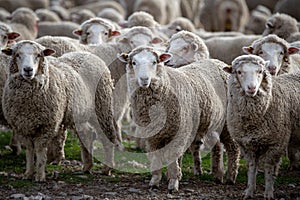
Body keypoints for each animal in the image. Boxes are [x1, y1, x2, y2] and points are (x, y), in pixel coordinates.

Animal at [2, 40, 122, 181]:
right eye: (17, 55)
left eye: (38, 55)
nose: (28, 70)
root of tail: (88, 54)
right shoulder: (22, 125)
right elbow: (30, 150)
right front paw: (28, 173)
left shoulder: (47, 124)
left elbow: (40, 149)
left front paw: (40, 175)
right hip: (80, 114)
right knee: (86, 134)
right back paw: (87, 166)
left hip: (102, 108)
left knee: (107, 137)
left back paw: (107, 168)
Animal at [118, 46, 240, 191]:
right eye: (134, 62)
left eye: (154, 62)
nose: (144, 79)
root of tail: (218, 62)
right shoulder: (152, 135)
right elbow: (155, 157)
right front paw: (155, 180)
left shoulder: (180, 132)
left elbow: (172, 156)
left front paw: (173, 182)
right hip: (214, 123)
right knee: (217, 146)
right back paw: (218, 175)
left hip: (228, 121)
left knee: (233, 148)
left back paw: (231, 177)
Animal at [224, 54, 300, 198]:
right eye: (239, 72)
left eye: (260, 71)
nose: (252, 88)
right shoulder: (246, 144)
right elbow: (252, 168)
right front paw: (249, 191)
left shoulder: (276, 144)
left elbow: (269, 169)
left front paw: (268, 193)